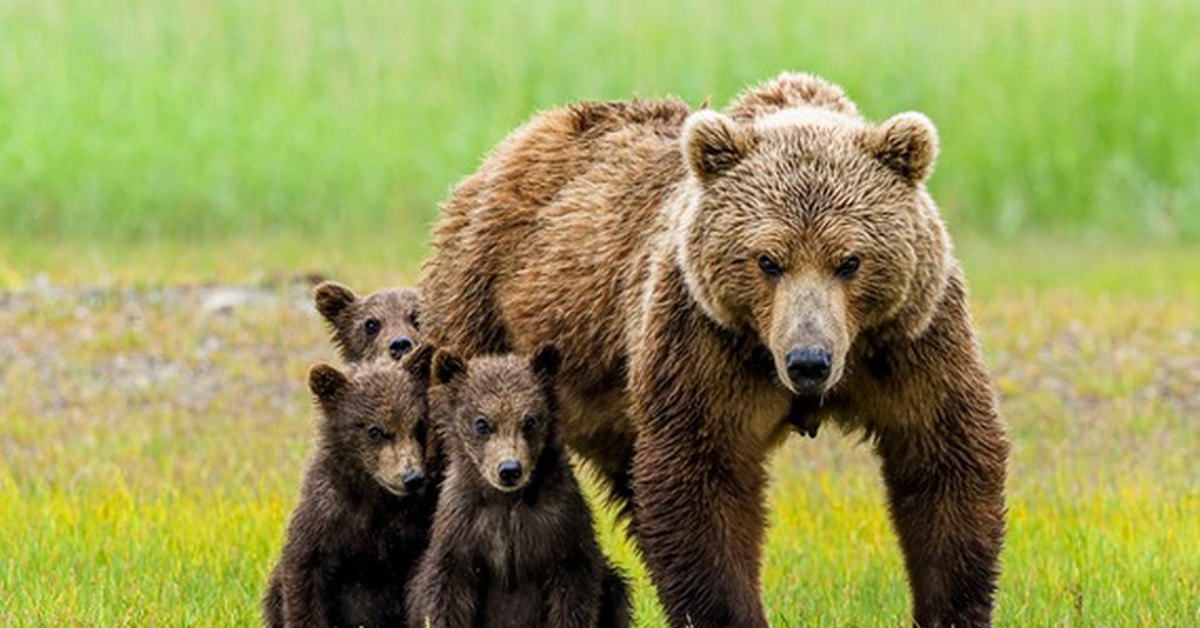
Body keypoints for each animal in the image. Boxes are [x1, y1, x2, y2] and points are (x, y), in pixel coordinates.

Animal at [262, 345, 441, 624]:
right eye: (375, 430)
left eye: (418, 425)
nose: (412, 477)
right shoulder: (325, 520)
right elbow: (303, 583)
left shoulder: (413, 530)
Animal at [408, 345, 633, 624]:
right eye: (481, 423)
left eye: (530, 421)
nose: (509, 470)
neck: (508, 502)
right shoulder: (463, 530)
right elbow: (446, 595)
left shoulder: (561, 528)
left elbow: (573, 593)